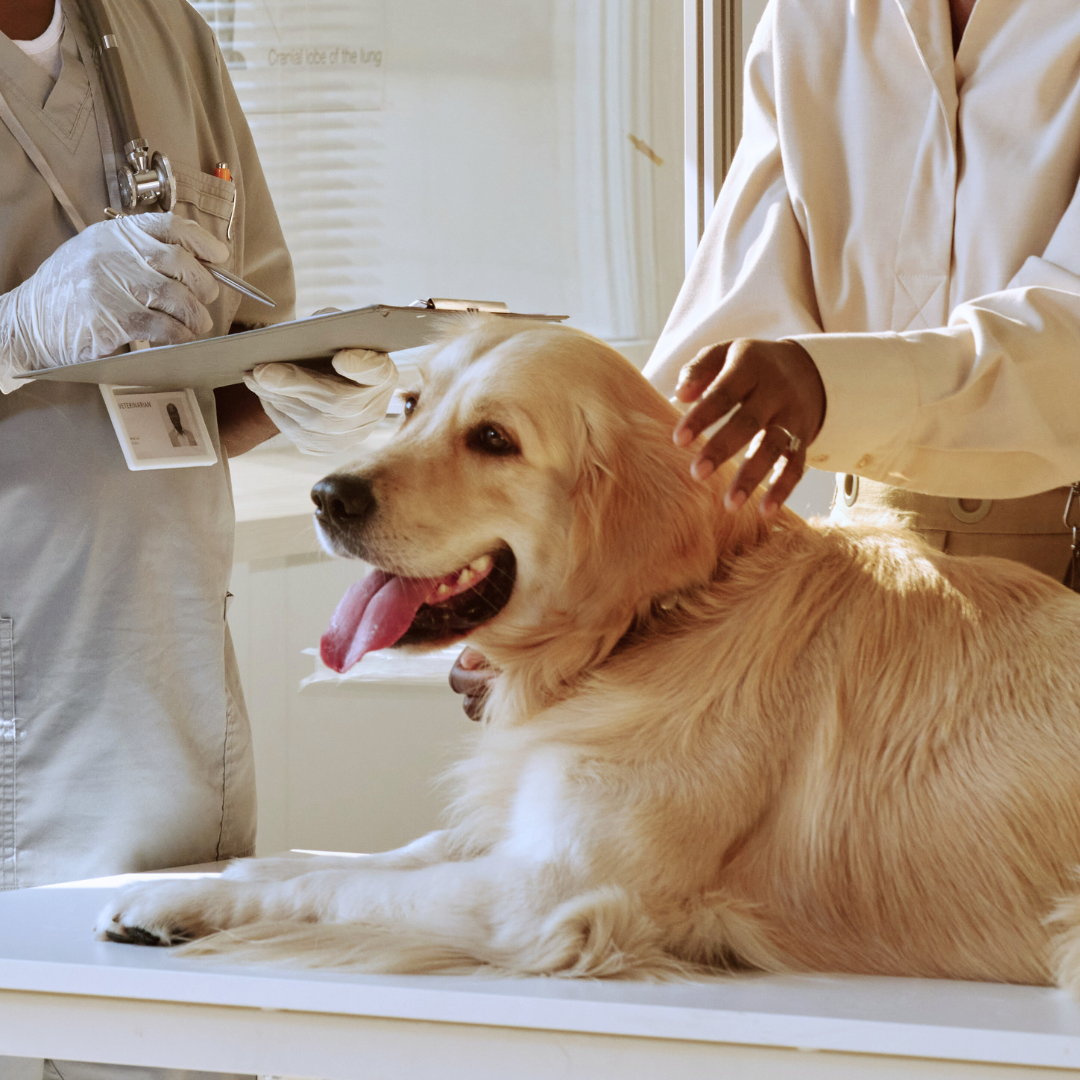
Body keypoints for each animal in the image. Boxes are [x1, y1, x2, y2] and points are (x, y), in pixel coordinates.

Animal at [99, 315, 1080, 989]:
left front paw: (190, 898)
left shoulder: (549, 895)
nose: (327, 495)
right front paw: (188, 891)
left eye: (494, 439)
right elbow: (362, 858)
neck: (653, 627)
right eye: (408, 407)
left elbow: (337, 889)